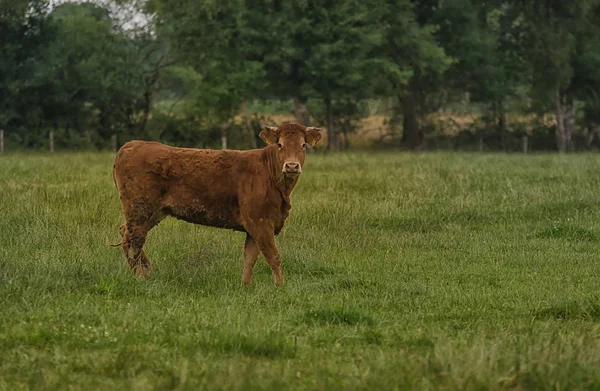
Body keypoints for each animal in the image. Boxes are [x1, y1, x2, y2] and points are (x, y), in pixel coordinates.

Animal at [110, 122, 322, 284]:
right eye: (279, 144)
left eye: (303, 145)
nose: (292, 166)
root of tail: (131, 145)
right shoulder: (260, 223)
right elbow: (273, 256)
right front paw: (280, 286)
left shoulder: (254, 227)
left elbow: (249, 258)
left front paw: (246, 286)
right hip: (139, 209)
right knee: (134, 240)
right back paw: (140, 277)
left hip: (154, 212)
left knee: (126, 233)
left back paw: (144, 271)